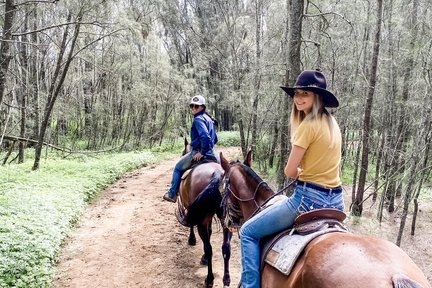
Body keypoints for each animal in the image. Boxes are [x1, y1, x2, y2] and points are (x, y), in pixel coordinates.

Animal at [175, 141, 233, 286]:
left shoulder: (192, 209)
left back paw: (209, 279)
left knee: (209, 248)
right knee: (226, 247)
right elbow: (210, 231)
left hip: (201, 220)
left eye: (183, 152)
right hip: (226, 218)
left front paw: (192, 240)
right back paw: (226, 278)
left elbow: (192, 225)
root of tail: (217, 173)